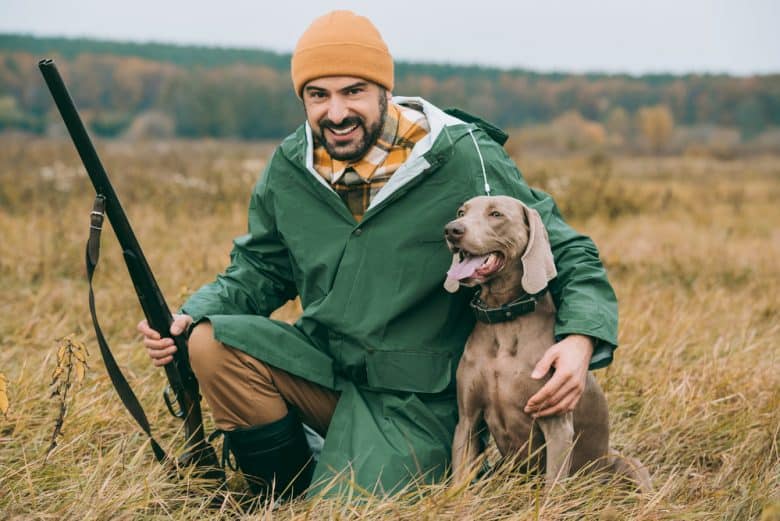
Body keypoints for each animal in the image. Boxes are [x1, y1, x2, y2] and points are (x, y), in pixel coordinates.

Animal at [444, 193, 652, 490]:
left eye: (496, 214)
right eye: (461, 212)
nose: (452, 229)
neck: (504, 319)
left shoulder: (558, 425)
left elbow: (553, 486)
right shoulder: (467, 420)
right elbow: (459, 481)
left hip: (628, 465)